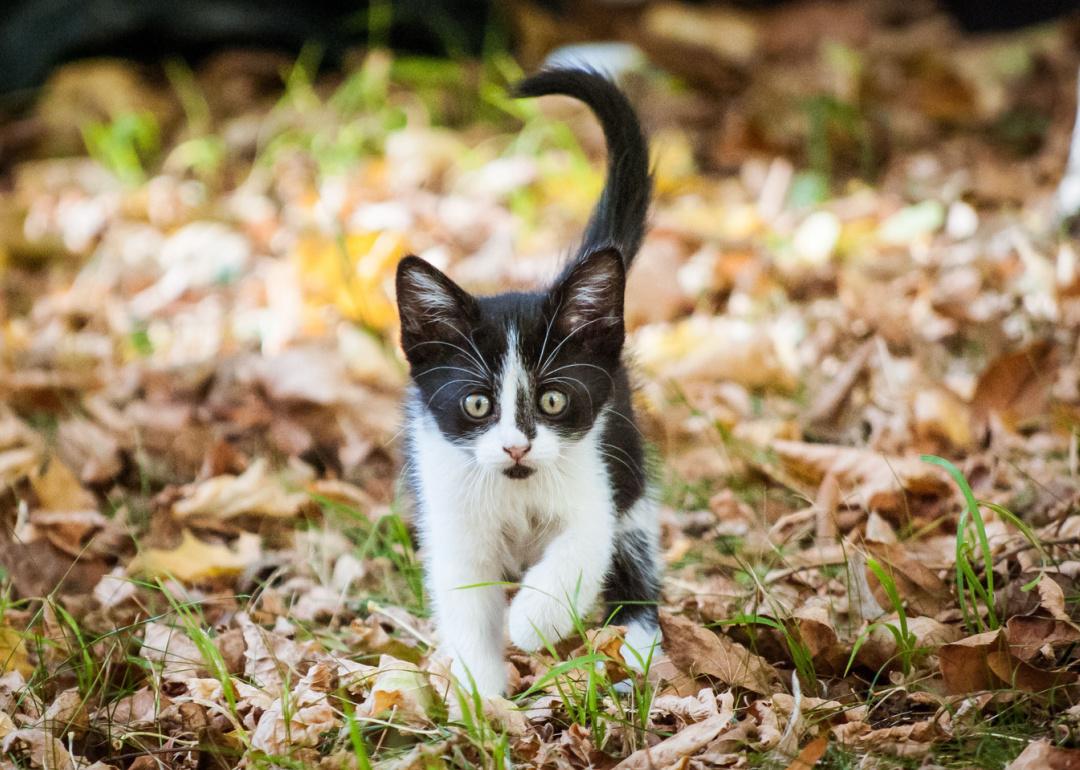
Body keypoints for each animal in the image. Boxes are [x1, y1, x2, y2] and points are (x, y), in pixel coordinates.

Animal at [393, 67, 652, 695]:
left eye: (554, 399)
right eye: (477, 404)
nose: (516, 446)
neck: (515, 490)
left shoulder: (593, 477)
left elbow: (582, 547)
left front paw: (535, 618)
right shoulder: (450, 513)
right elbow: (465, 601)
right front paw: (481, 700)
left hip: (629, 459)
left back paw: (638, 640)